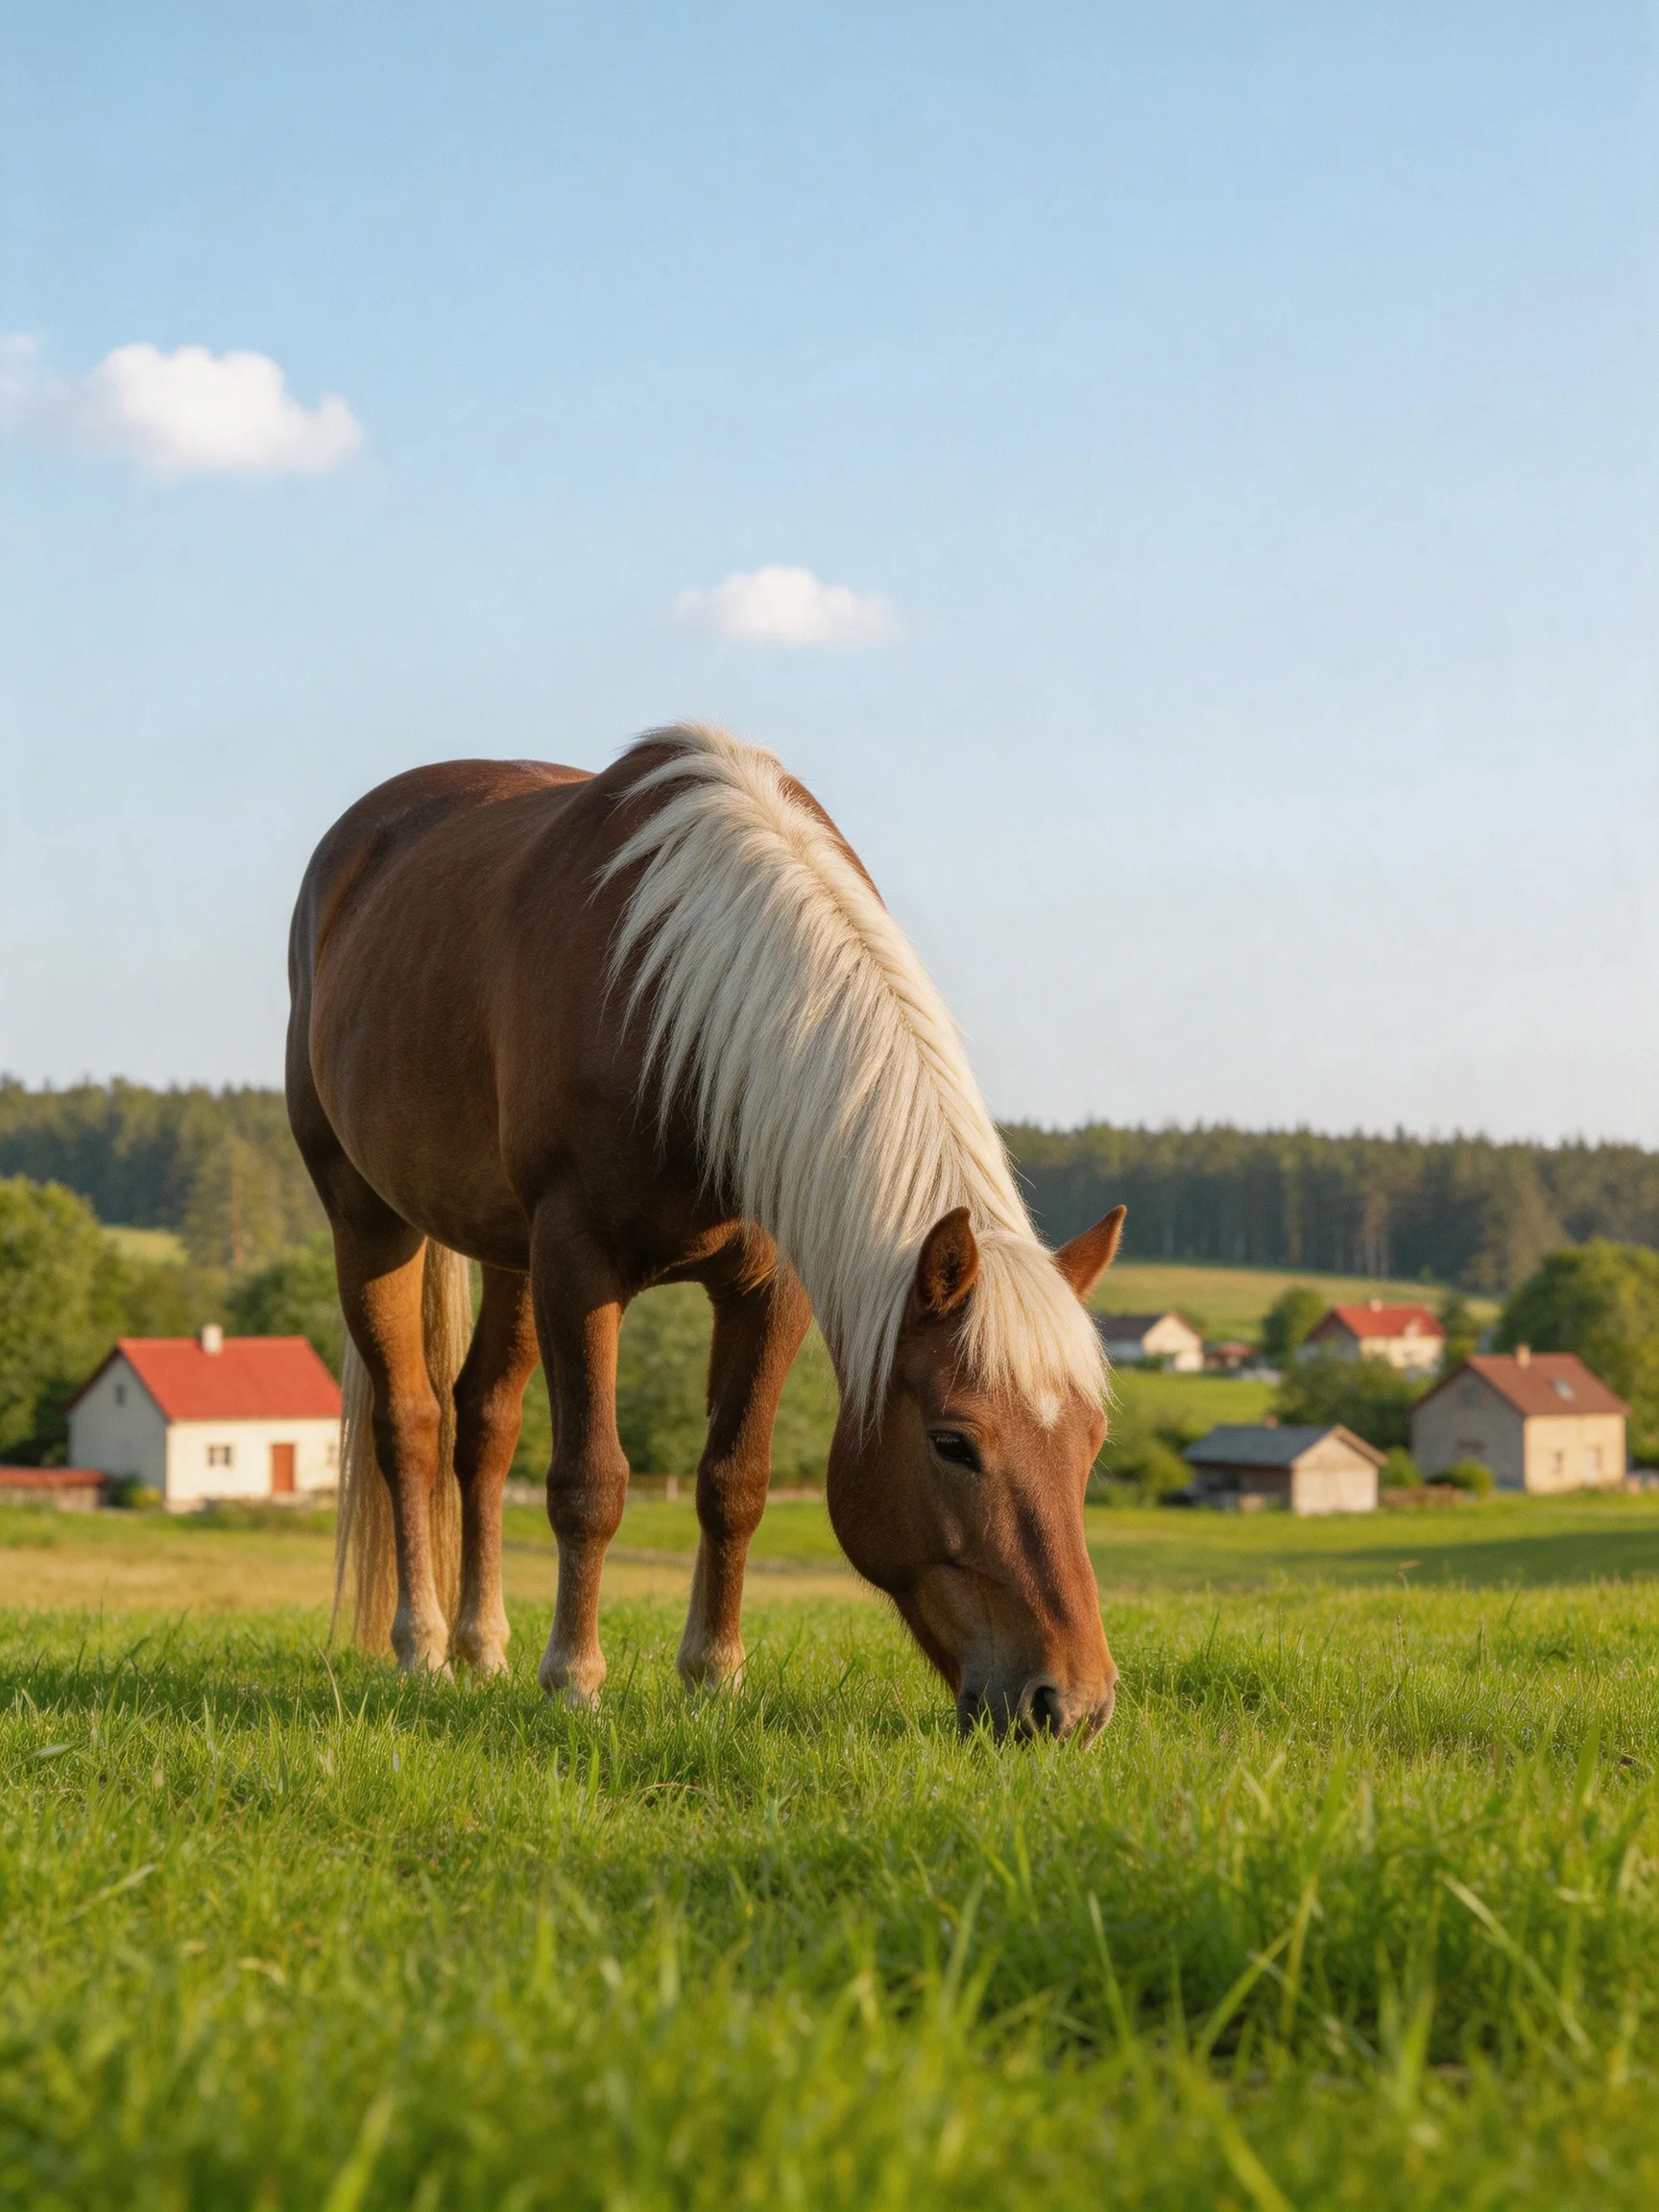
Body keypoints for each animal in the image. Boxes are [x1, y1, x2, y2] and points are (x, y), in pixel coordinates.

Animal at [287, 724, 1127, 1740]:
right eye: (953, 1443)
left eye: (1091, 1440)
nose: (1072, 1704)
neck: (672, 1003)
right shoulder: (578, 1261)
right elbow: (590, 1482)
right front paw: (574, 1680)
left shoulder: (770, 1288)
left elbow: (737, 1480)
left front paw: (714, 1674)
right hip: (368, 1217)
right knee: (409, 1421)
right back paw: (424, 1648)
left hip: (510, 1256)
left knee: (482, 1423)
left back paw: (482, 1646)